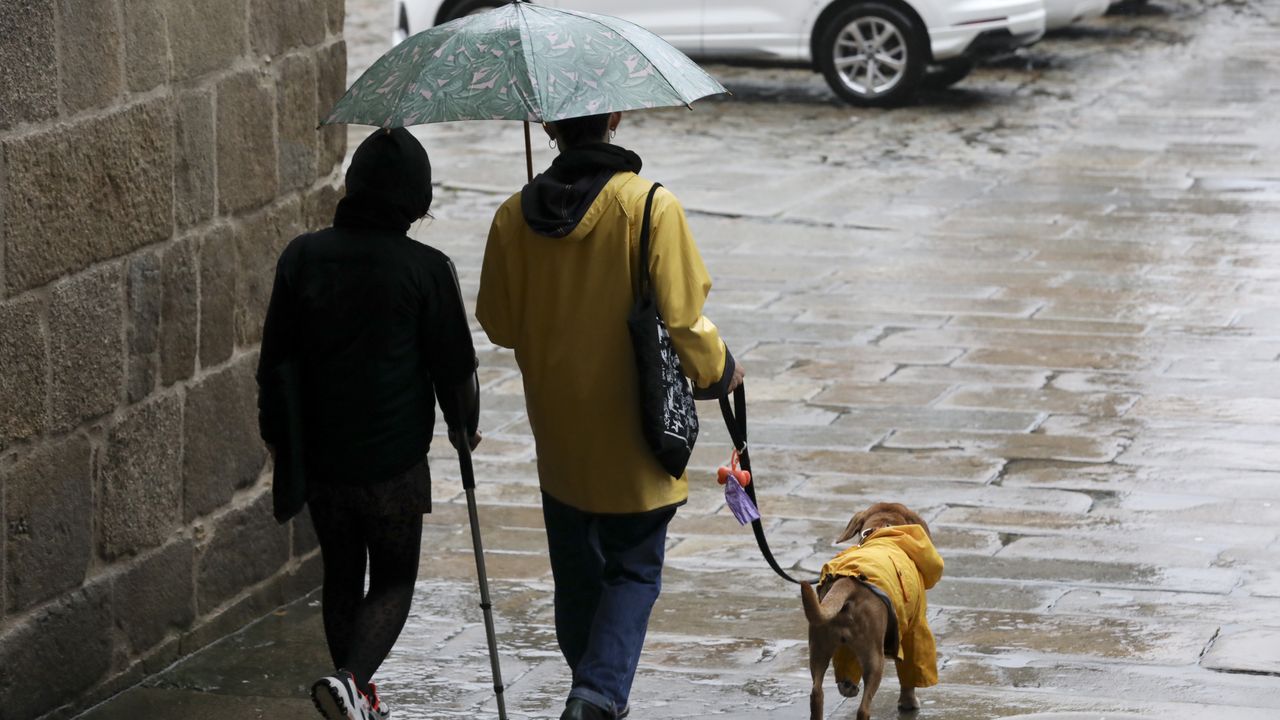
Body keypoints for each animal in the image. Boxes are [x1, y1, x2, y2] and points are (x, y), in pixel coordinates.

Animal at [803, 499, 947, 717]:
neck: (882, 530)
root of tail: (848, 583)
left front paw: (848, 687)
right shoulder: (914, 628)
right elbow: (909, 673)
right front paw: (909, 702)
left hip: (819, 647)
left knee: (816, 694)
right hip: (874, 658)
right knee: (863, 708)